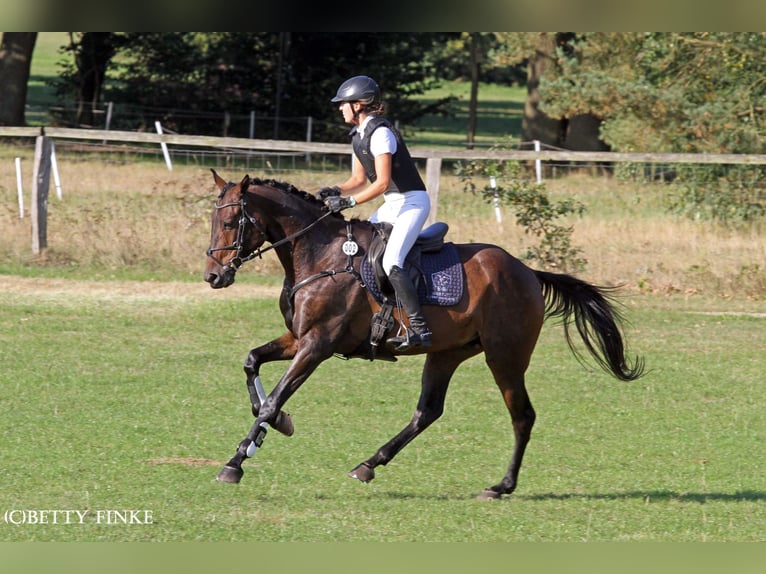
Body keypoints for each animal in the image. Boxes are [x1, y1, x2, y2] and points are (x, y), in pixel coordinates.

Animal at [202, 170, 640, 500]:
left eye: (230, 223)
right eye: (212, 221)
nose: (213, 277)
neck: (319, 253)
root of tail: (527, 272)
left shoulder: (317, 345)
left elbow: (273, 399)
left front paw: (237, 461)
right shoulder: (298, 338)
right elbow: (252, 364)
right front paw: (276, 427)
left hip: (505, 357)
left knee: (522, 416)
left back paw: (500, 486)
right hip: (447, 352)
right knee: (427, 411)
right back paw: (368, 465)